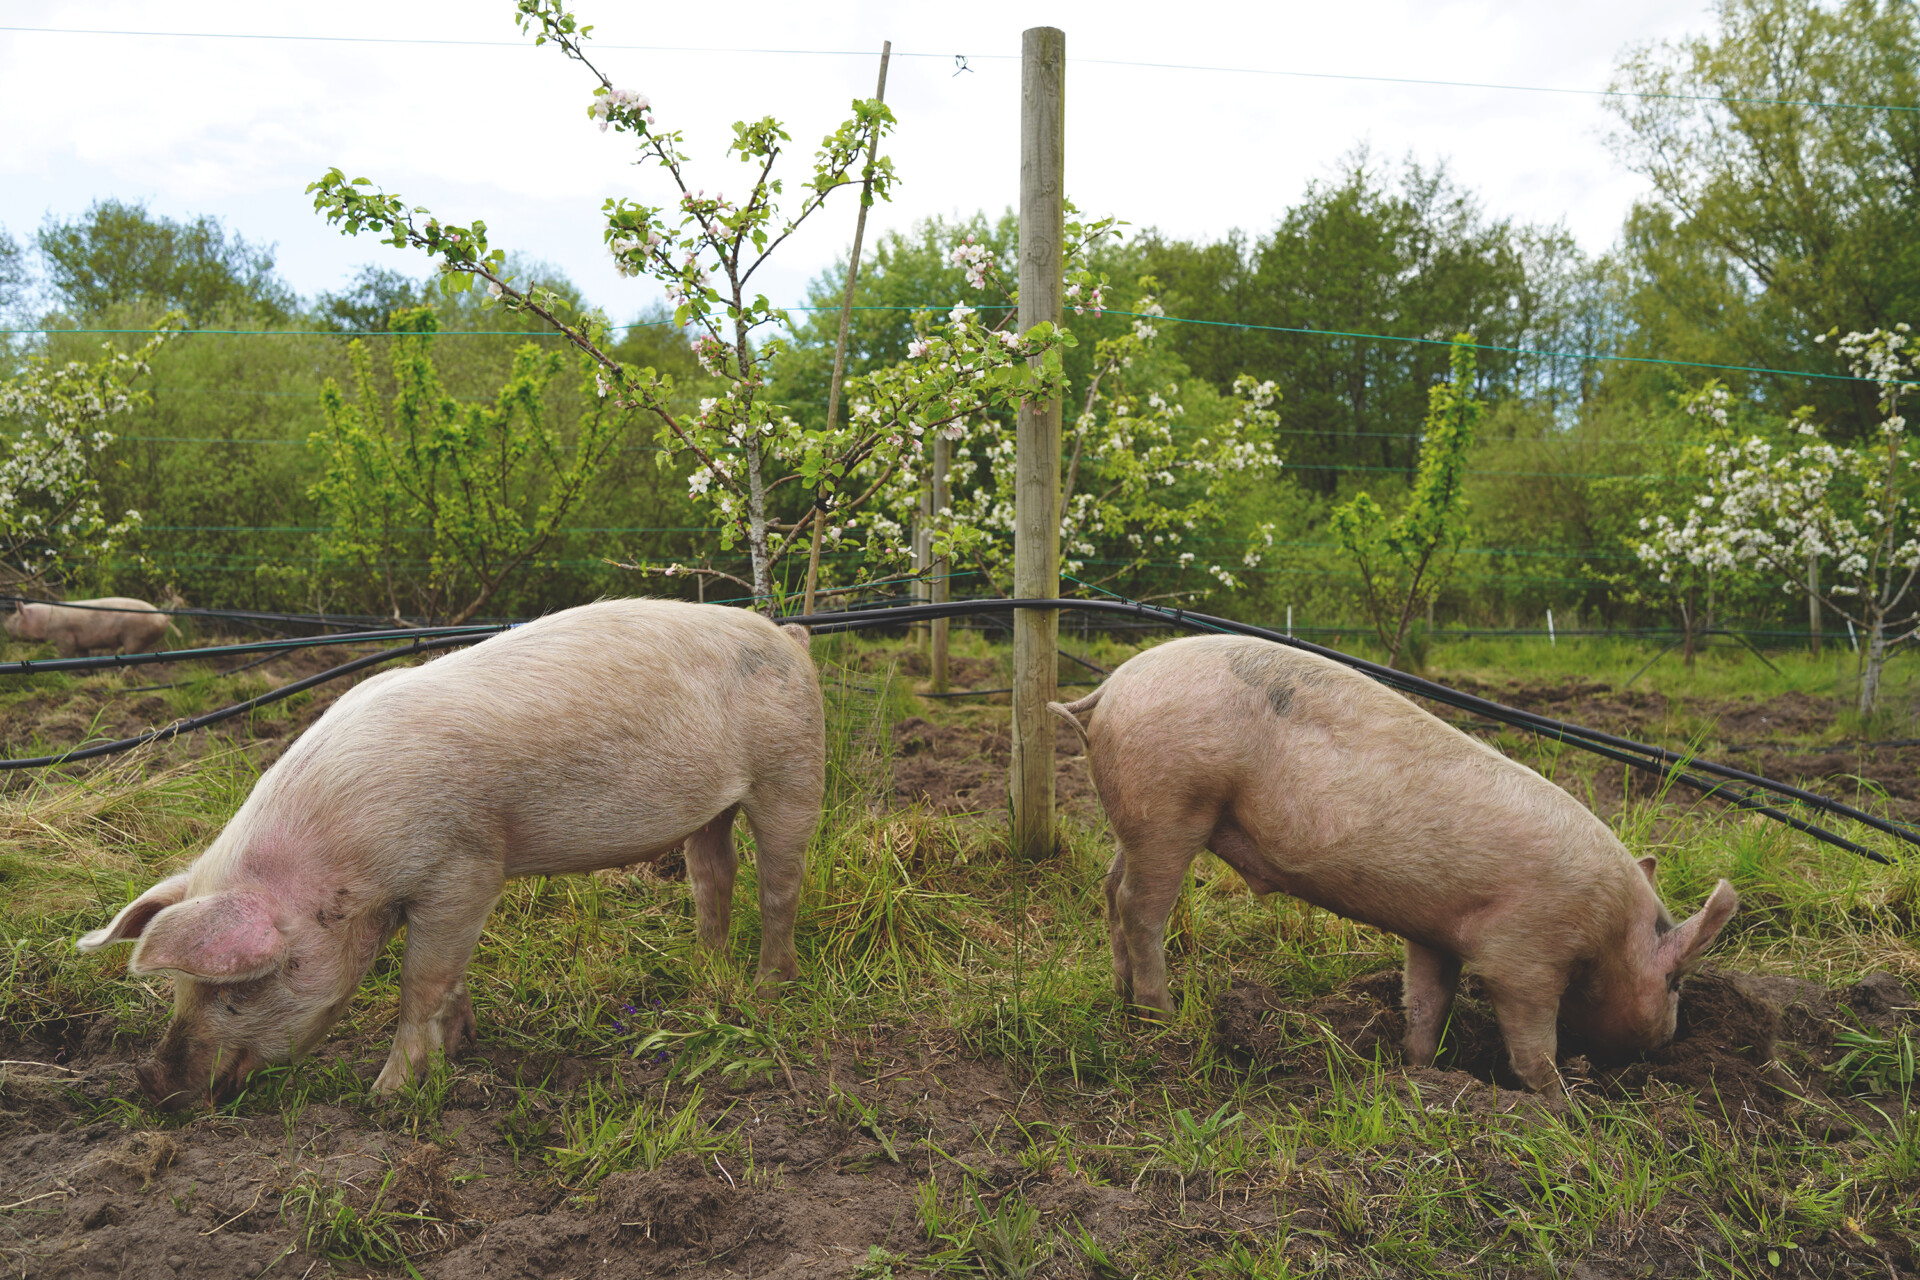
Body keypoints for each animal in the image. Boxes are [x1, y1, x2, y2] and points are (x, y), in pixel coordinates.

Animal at [4, 598, 174, 660]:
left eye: (15, 618)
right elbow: (83, 655)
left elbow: (66, 654)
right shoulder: (81, 643)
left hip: (135, 636)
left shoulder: (64, 637)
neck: (45, 620)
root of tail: (163, 617)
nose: (4, 625)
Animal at [74, 602, 821, 1113]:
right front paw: (461, 1046)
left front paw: (384, 1097)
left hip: (791, 769)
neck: (347, 866)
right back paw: (704, 973)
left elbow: (420, 981)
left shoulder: (464, 869)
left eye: (239, 989)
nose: (150, 1082)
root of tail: (787, 635)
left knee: (779, 883)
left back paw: (768, 989)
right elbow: (451, 974)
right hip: (715, 805)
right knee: (711, 873)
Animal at [1052, 633, 1743, 1090]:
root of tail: (1111, 688)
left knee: (1112, 888)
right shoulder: (1525, 953)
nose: (1668, 1041)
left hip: (1137, 816)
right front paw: (1558, 1105)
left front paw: (1420, 1073)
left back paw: (1121, 999)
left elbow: (1427, 1000)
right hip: (1172, 801)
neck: (1609, 930)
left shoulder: (1436, 934)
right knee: (1141, 906)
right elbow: (1531, 1038)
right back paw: (1161, 1017)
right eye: (1674, 980)